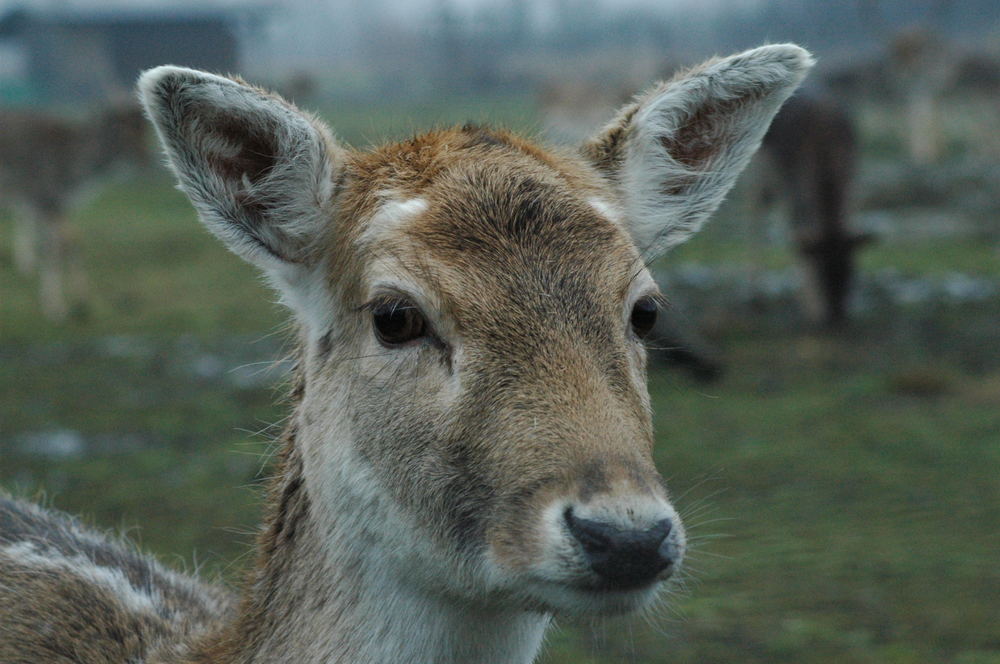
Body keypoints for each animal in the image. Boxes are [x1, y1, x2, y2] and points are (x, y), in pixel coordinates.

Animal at [0, 101, 147, 322]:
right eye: (122, 129)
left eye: (145, 128)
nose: (145, 158)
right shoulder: (44, 197)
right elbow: (56, 249)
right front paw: (57, 308)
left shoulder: (56, 204)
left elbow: (69, 242)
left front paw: (81, 301)